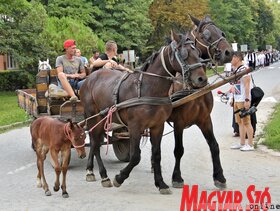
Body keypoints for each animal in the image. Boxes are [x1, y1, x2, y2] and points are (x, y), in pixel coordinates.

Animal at [79, 31, 208, 195]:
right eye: (184, 54)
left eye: (197, 52)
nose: (202, 79)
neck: (148, 88)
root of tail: (89, 77)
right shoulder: (135, 126)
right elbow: (135, 156)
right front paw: (119, 178)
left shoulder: (157, 126)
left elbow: (157, 154)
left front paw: (161, 184)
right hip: (93, 116)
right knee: (95, 143)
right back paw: (102, 175)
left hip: (103, 119)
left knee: (95, 141)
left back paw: (92, 171)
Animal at [167, 15, 233, 189]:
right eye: (206, 34)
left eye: (221, 31)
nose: (228, 52)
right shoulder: (179, 122)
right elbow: (178, 150)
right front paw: (177, 177)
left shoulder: (204, 119)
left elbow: (214, 146)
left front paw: (220, 177)